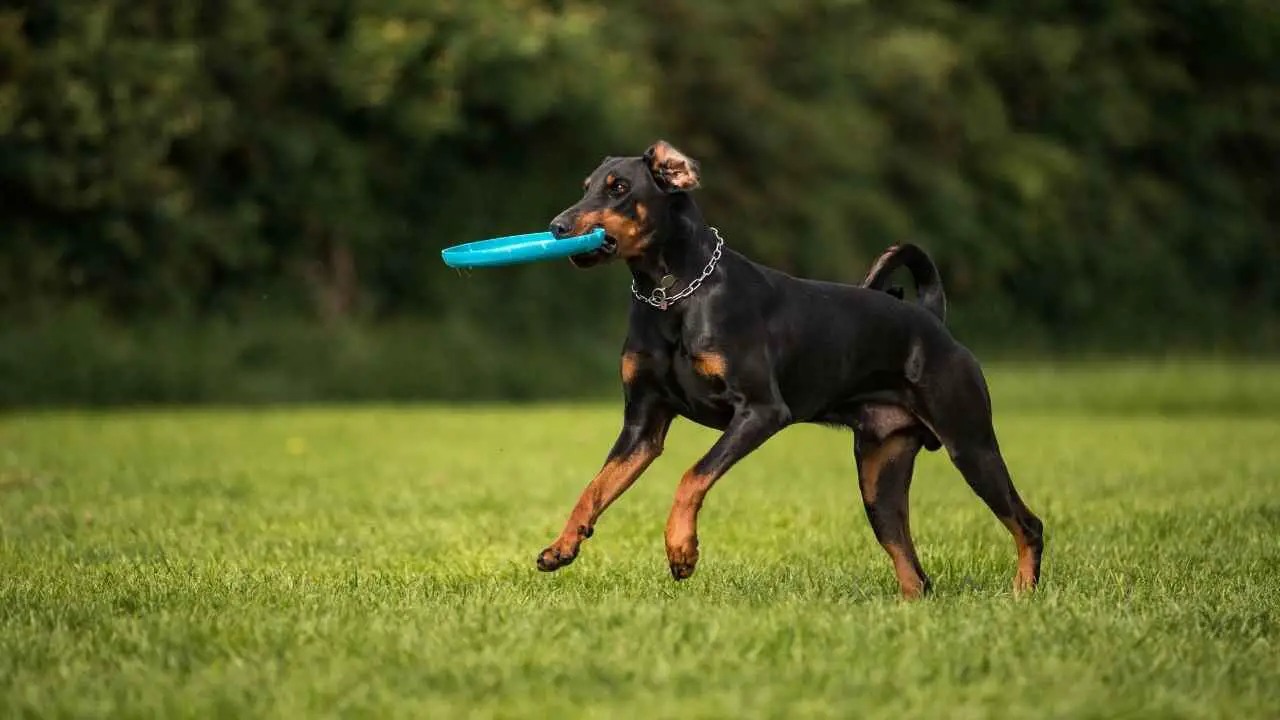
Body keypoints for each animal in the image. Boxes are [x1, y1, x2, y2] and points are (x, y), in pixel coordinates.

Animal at [535, 140, 1044, 594]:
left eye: (619, 187)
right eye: (586, 187)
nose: (557, 226)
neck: (673, 293)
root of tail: (933, 320)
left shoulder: (760, 411)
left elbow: (693, 474)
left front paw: (682, 550)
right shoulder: (642, 426)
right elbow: (594, 488)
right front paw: (562, 546)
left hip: (970, 445)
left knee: (1028, 523)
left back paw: (1023, 591)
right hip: (880, 476)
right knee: (915, 573)